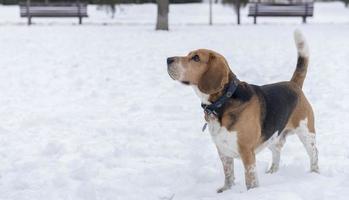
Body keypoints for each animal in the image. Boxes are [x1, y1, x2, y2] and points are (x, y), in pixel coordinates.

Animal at [166, 30, 318, 192]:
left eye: (196, 58)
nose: (168, 59)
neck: (223, 101)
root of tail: (293, 84)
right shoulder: (223, 151)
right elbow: (228, 174)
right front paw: (226, 191)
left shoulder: (247, 152)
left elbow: (250, 179)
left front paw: (251, 192)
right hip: (273, 135)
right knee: (277, 151)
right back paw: (272, 171)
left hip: (306, 133)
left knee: (314, 153)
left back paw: (314, 173)